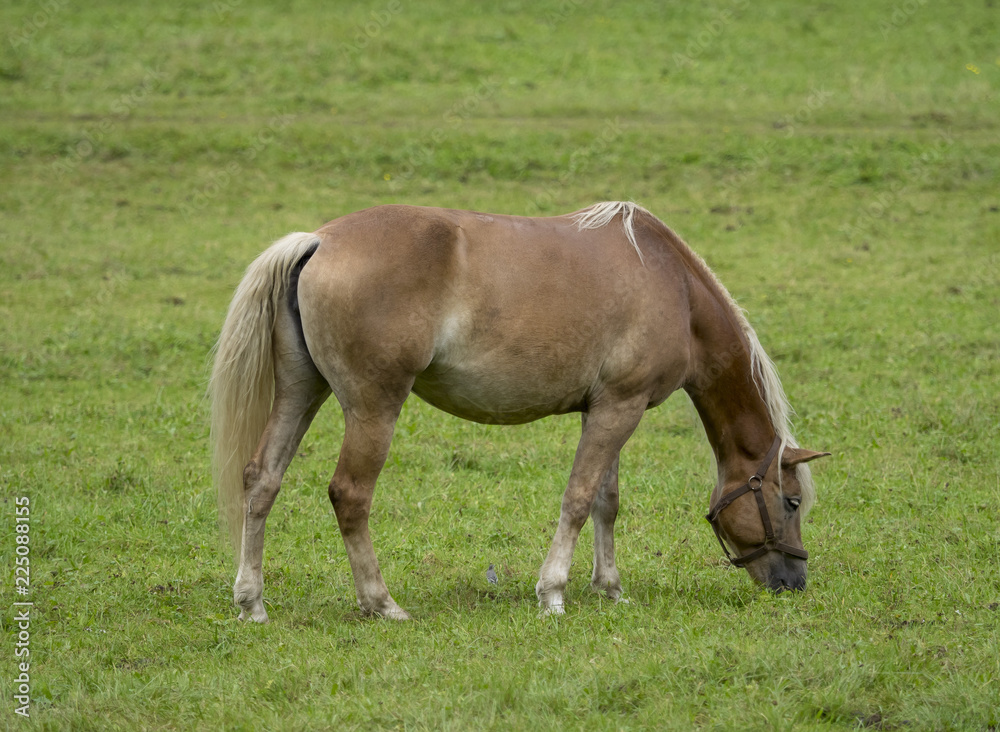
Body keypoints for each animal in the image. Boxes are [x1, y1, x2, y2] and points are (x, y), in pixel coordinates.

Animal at [209, 202, 828, 624]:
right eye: (792, 501)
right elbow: (578, 498)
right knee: (350, 495)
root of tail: (318, 240)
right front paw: (552, 592)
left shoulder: (607, 408)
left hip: (300, 392)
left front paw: (610, 588)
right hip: (373, 408)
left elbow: (606, 502)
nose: (795, 580)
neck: (670, 283)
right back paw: (381, 603)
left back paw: (252, 602)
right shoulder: (619, 408)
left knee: (262, 480)